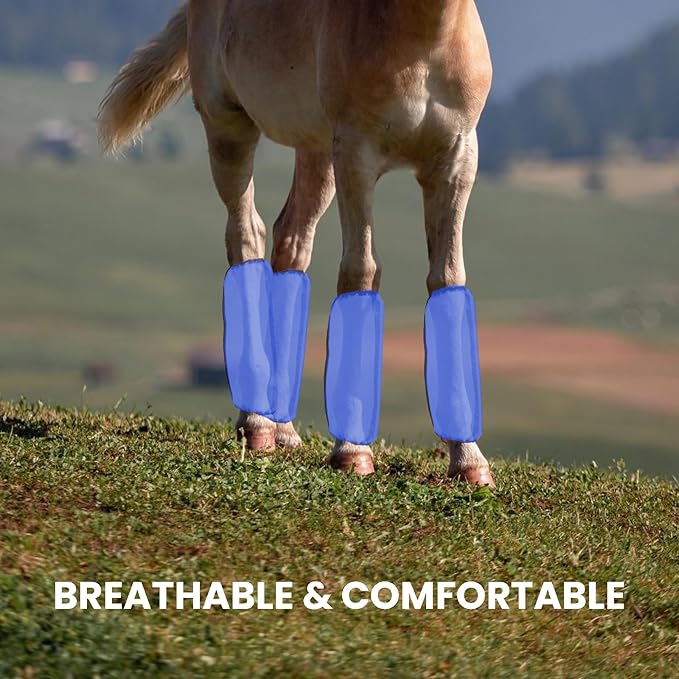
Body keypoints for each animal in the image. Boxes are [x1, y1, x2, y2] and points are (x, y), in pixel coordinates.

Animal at [98, 0, 495, 487]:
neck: (424, 38)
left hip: (316, 149)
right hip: (230, 127)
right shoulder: (357, 155)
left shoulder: (458, 159)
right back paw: (256, 425)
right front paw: (352, 451)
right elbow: (361, 272)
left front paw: (469, 459)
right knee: (247, 235)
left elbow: (447, 278)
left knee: (290, 244)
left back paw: (282, 427)